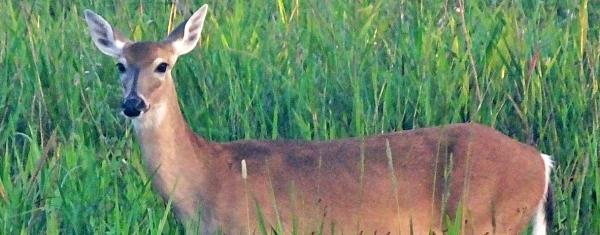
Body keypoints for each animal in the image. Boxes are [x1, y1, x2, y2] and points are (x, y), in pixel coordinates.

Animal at [83, 4, 552, 235]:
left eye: (163, 65)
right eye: (120, 65)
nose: (133, 104)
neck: (206, 181)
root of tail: (541, 162)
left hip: (487, 220)